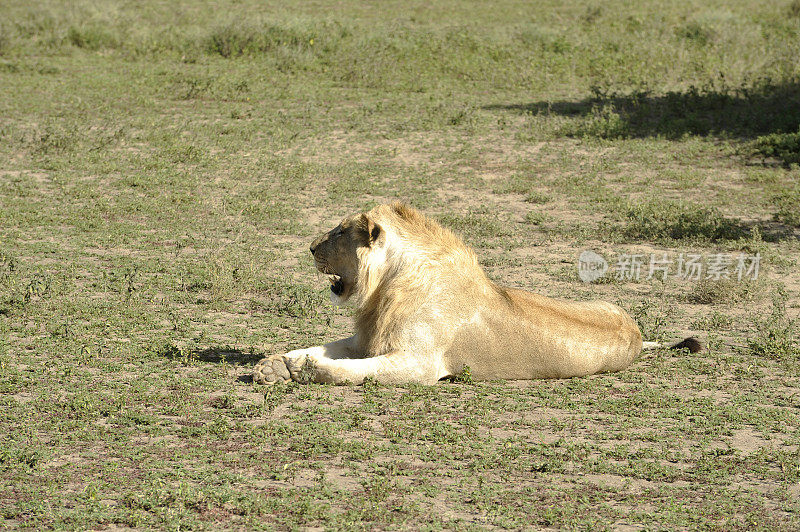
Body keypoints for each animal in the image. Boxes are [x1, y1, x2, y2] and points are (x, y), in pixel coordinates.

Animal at [252, 202, 700, 384]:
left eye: (341, 232)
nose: (310, 248)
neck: (387, 287)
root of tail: (639, 335)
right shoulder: (367, 338)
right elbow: (322, 346)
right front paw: (276, 365)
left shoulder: (421, 364)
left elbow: (352, 371)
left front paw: (308, 371)